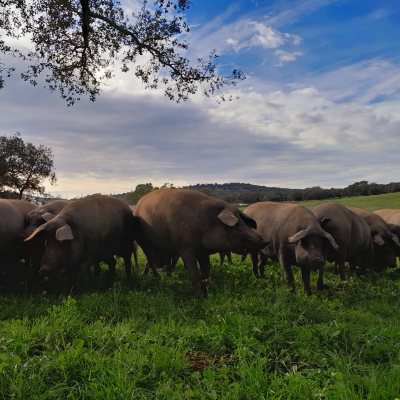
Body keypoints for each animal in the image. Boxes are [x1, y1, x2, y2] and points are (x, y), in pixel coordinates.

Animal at [132, 189, 268, 298]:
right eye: (236, 225)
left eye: (244, 223)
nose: (264, 240)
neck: (204, 224)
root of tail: (138, 204)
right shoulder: (185, 248)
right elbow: (194, 273)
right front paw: (200, 296)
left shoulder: (203, 252)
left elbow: (206, 271)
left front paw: (206, 293)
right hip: (141, 239)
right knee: (149, 258)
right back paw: (156, 277)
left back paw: (164, 275)